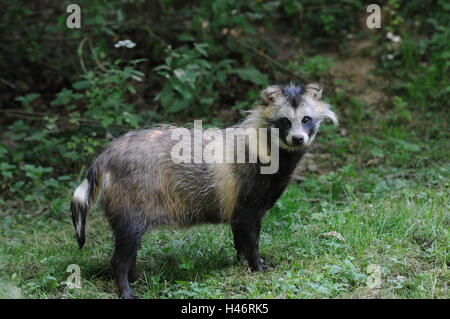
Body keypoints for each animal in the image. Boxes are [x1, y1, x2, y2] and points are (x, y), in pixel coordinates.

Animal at [70, 84, 338, 298]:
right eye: (284, 121)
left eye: (306, 119)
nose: (298, 139)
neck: (269, 152)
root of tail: (106, 156)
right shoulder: (246, 191)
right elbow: (250, 235)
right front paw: (257, 265)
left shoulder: (249, 202)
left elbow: (242, 234)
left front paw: (244, 261)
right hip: (132, 197)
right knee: (122, 252)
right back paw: (125, 288)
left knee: (131, 246)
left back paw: (137, 277)